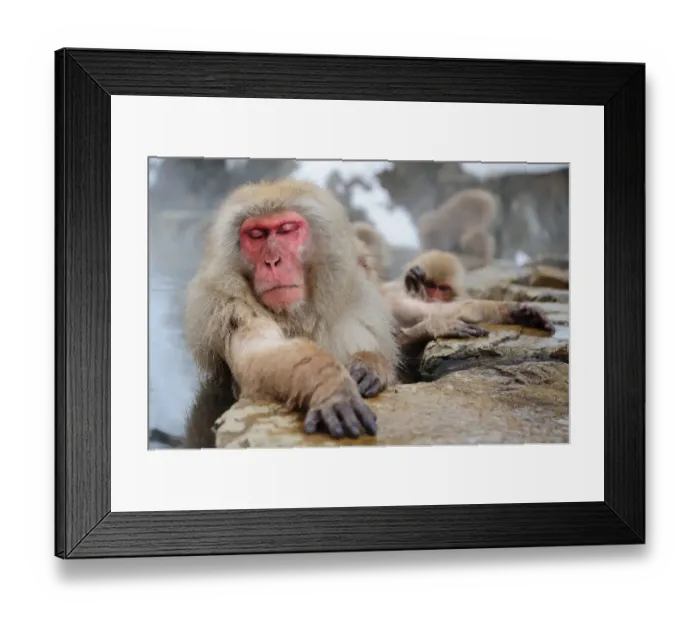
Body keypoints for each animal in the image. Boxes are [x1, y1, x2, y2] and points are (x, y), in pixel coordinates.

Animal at [182, 179, 399, 448]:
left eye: (286, 230)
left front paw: (369, 364)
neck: (295, 315)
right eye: (257, 235)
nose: (272, 261)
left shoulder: (356, 306)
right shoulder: (228, 304)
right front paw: (330, 384)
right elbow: (258, 356)